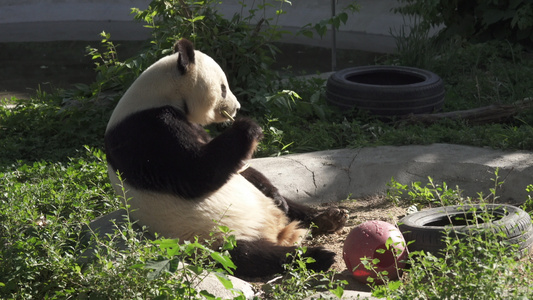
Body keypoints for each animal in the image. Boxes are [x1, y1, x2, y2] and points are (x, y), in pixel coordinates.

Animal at [104, 38, 348, 278]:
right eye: (223, 88)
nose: (237, 107)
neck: (159, 95)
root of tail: (277, 231)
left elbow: (239, 168)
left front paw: (275, 192)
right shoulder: (147, 130)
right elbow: (196, 173)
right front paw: (247, 127)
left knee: (292, 208)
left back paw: (329, 216)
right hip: (210, 236)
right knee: (250, 255)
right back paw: (316, 256)